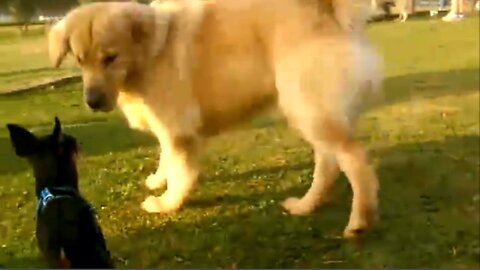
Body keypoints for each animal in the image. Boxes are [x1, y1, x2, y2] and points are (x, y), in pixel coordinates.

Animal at [49, 0, 382, 238]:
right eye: (79, 60)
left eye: (110, 58)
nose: (92, 102)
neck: (152, 53)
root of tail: (331, 11)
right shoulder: (166, 126)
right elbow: (165, 157)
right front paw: (158, 179)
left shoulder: (179, 129)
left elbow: (180, 171)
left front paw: (167, 203)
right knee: (328, 163)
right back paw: (306, 205)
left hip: (308, 109)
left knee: (353, 160)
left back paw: (359, 221)